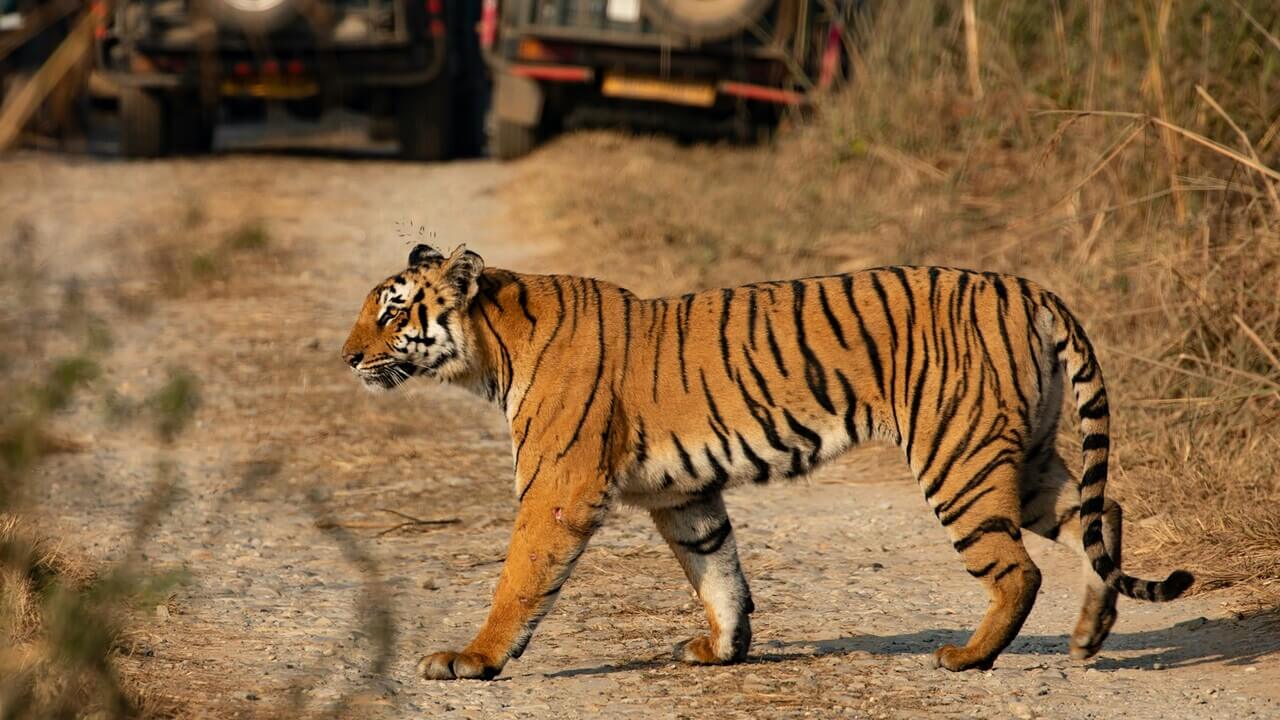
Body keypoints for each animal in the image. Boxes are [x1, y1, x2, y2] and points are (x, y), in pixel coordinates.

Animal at [337, 243, 1187, 676]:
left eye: (392, 313)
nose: (346, 358)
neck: (490, 350)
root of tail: (1030, 288)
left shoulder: (559, 489)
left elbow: (518, 582)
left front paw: (472, 659)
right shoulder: (682, 495)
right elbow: (717, 571)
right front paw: (721, 649)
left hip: (960, 458)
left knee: (1020, 569)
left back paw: (968, 656)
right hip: (1024, 456)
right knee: (1102, 514)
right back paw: (1089, 635)